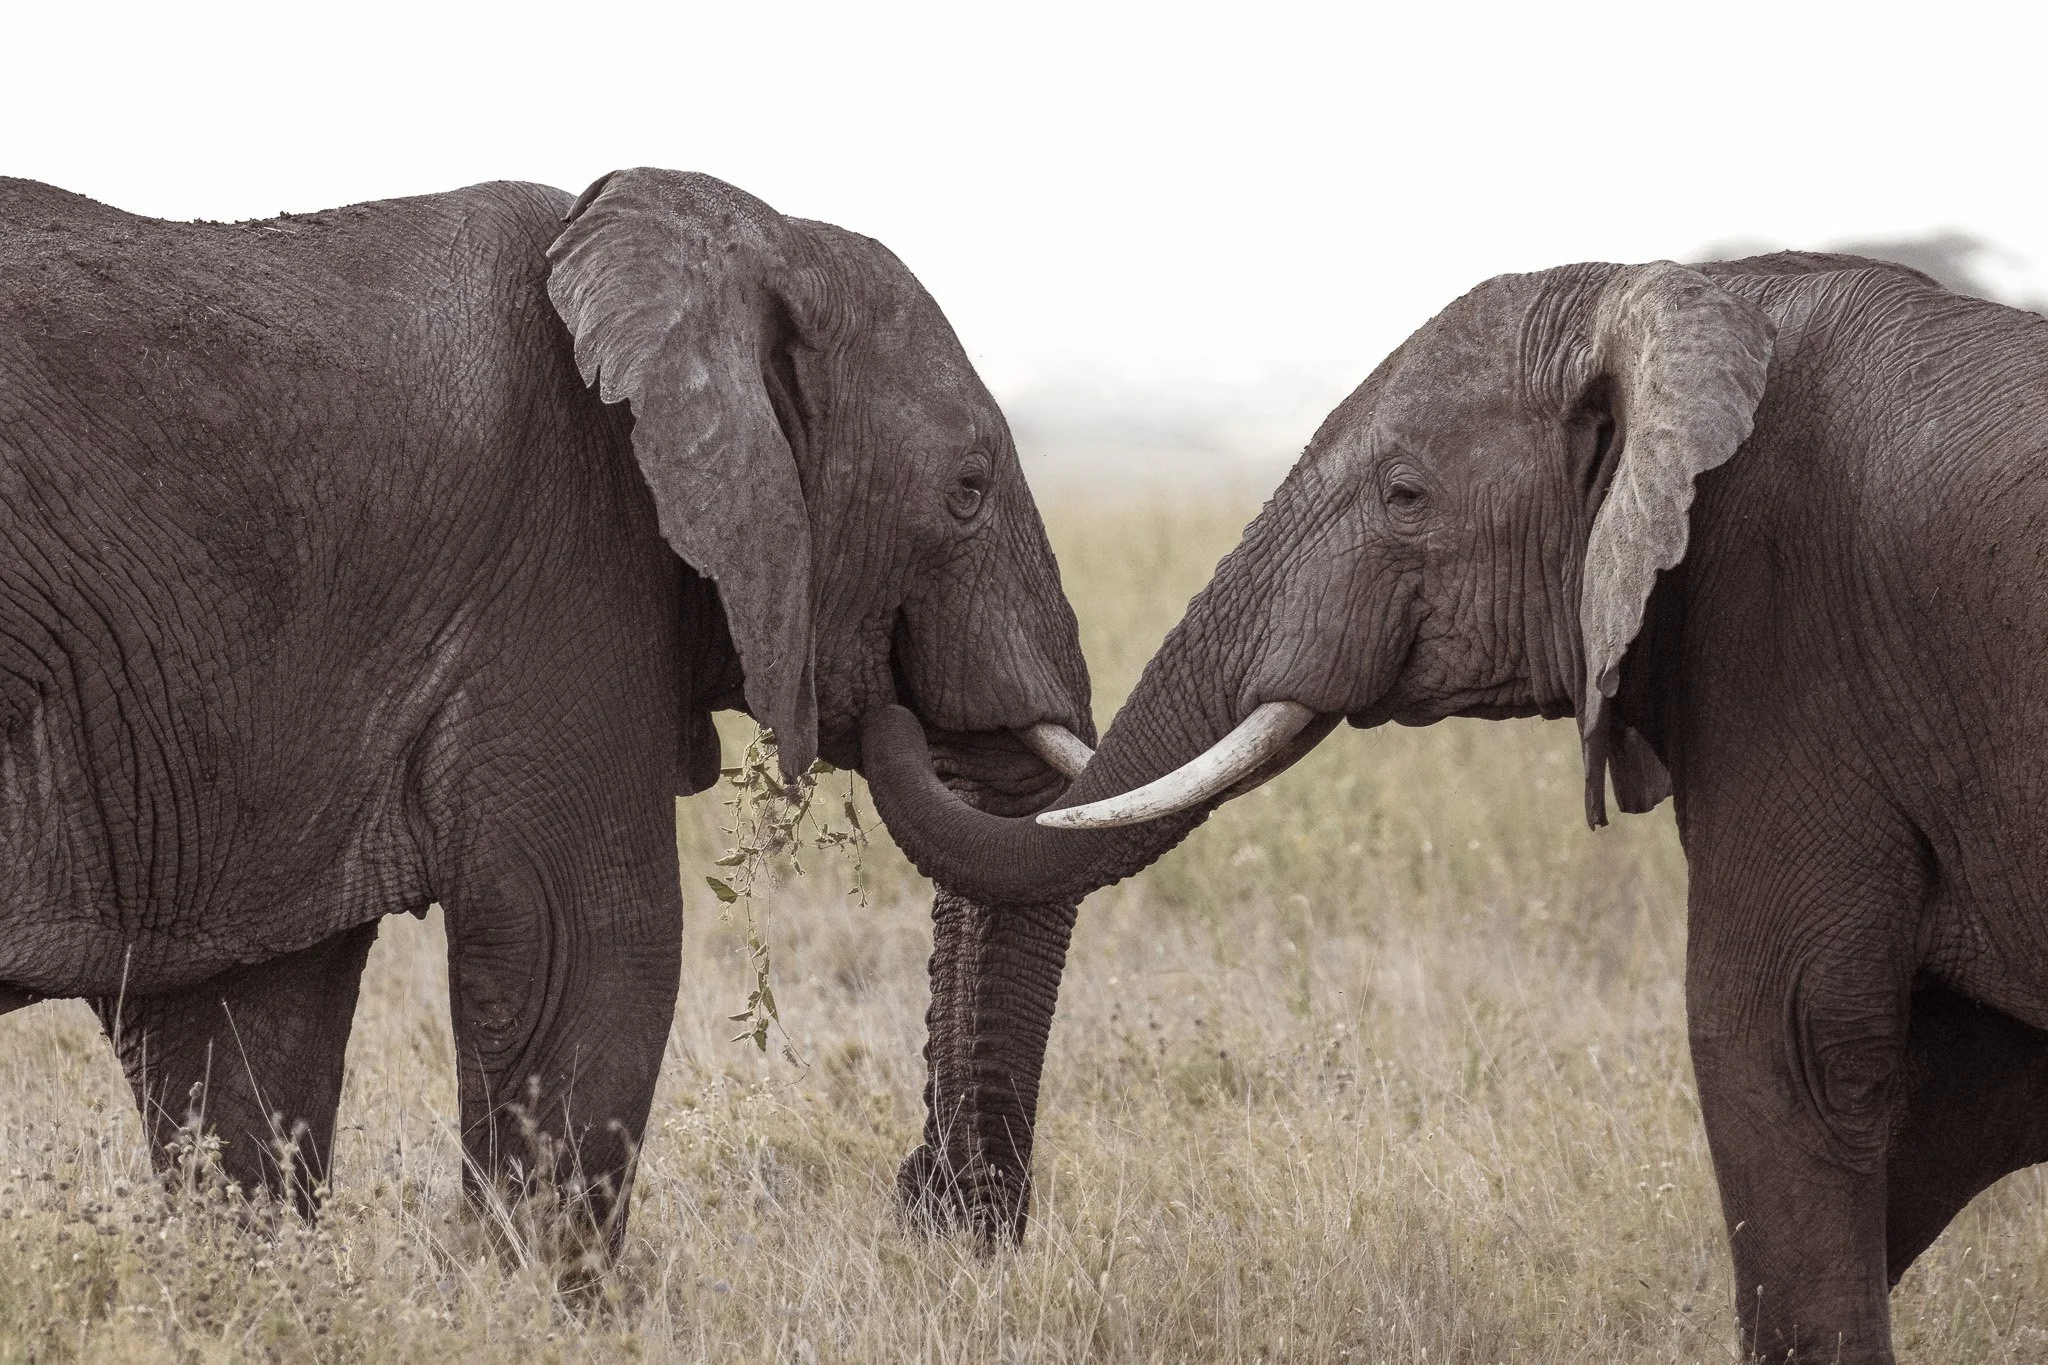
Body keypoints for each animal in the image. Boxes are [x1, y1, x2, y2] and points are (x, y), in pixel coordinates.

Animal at [0, 168, 1096, 1244]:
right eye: (967, 489)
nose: (934, 1202)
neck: (738, 239)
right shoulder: (564, 555)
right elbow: (594, 946)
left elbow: (243, 1042)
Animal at [864, 250, 2048, 1360]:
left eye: (1405, 494)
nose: (937, 1205)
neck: (1700, 299)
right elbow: (1956, 1093)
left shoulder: (1783, 651)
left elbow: (1787, 1043)